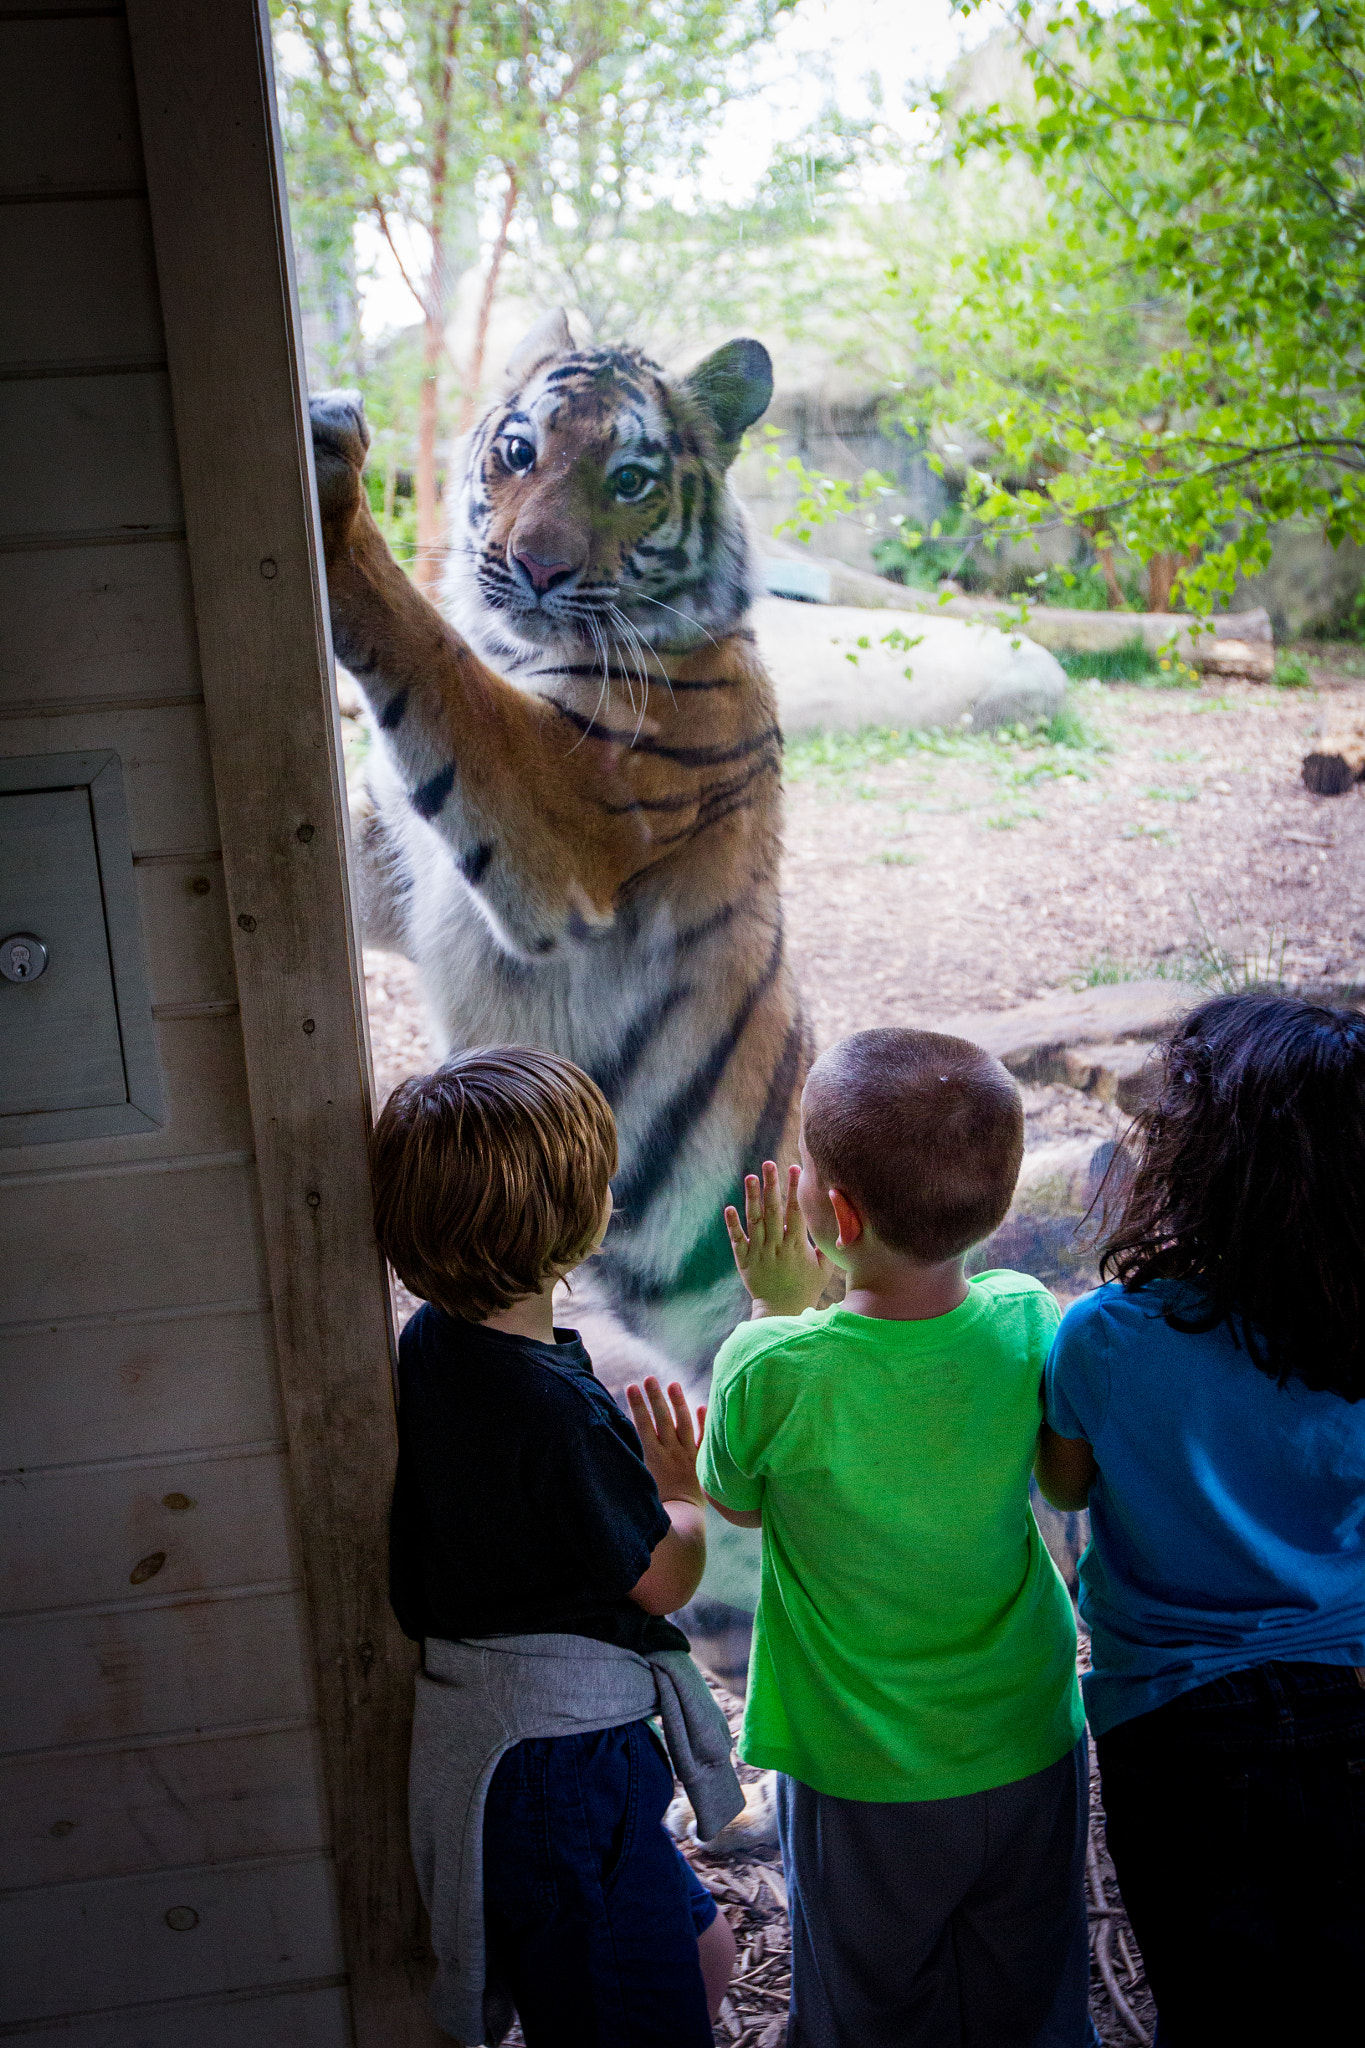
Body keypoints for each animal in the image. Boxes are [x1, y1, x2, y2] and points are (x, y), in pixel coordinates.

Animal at [310, 309, 812, 1386]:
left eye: (628, 479)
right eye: (517, 451)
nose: (537, 567)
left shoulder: (565, 812)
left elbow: (436, 656)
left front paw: (335, 481)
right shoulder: (393, 862)